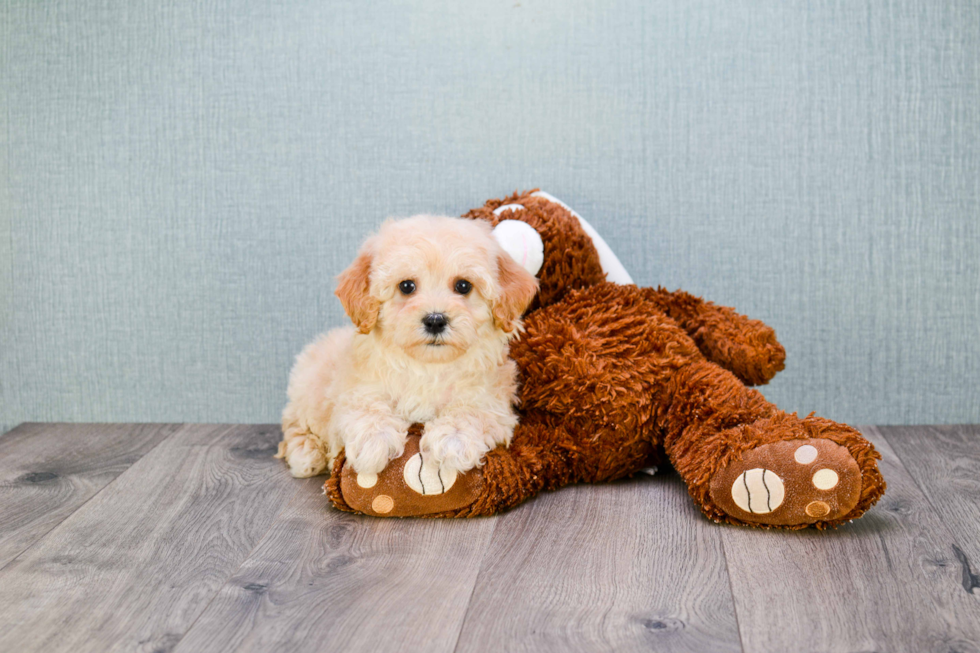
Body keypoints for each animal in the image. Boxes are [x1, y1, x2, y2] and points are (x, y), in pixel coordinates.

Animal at [274, 216, 536, 476]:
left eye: (463, 286)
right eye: (406, 286)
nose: (435, 320)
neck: (428, 366)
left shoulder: (492, 399)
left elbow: (472, 411)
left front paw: (454, 439)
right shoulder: (356, 388)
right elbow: (364, 405)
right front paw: (374, 439)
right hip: (305, 390)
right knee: (293, 425)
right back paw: (306, 452)